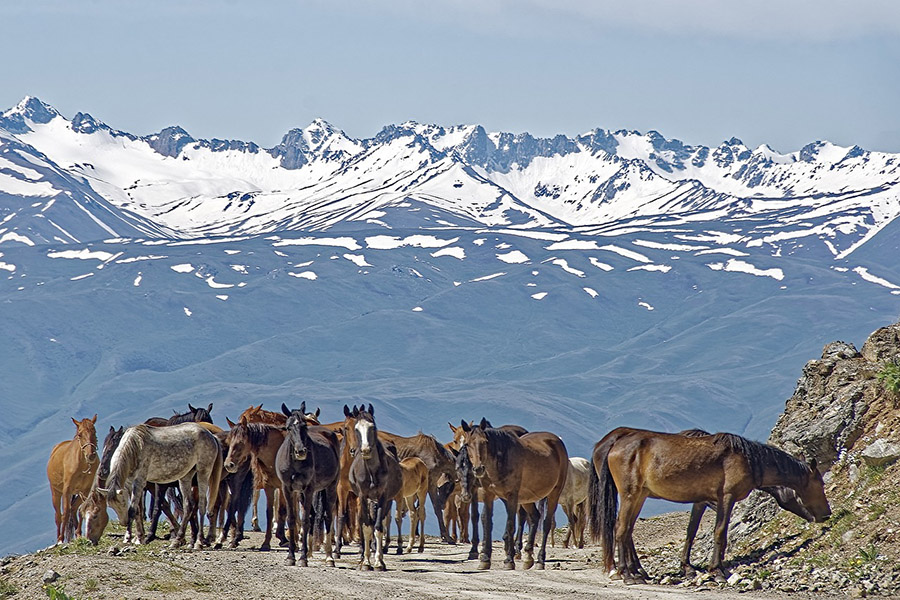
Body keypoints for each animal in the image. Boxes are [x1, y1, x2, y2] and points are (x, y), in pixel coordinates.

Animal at [47, 415, 99, 543]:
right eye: (80, 434)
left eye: (94, 431)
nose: (91, 455)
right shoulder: (67, 490)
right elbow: (65, 513)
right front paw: (61, 539)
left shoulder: (85, 490)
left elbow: (80, 510)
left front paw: (80, 534)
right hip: (56, 492)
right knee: (58, 515)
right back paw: (59, 538)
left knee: (73, 509)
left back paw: (77, 533)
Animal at [275, 402, 340, 567]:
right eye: (288, 427)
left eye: (304, 426)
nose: (301, 451)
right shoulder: (287, 489)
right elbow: (292, 519)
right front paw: (291, 556)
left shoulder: (309, 489)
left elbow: (305, 521)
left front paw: (303, 558)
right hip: (301, 494)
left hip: (330, 487)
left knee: (328, 517)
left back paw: (329, 557)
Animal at [345, 404, 402, 571]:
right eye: (357, 428)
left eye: (372, 427)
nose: (365, 450)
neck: (371, 471)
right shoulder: (362, 496)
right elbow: (366, 527)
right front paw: (365, 562)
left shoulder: (383, 497)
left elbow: (378, 528)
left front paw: (378, 562)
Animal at [460, 418, 568, 571]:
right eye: (467, 444)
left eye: (485, 442)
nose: (478, 469)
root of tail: (557, 441)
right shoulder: (488, 494)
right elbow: (487, 521)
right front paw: (485, 559)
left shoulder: (512, 496)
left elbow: (510, 525)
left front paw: (509, 560)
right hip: (527, 497)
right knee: (535, 517)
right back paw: (528, 557)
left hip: (554, 493)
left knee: (546, 523)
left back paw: (540, 560)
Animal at [589, 427, 831, 584]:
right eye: (820, 483)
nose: (827, 514)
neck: (749, 459)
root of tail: (613, 443)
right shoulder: (726, 498)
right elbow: (720, 532)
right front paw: (718, 571)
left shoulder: (700, 501)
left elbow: (691, 531)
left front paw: (690, 568)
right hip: (630, 495)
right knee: (621, 529)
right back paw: (628, 575)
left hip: (639, 496)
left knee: (627, 529)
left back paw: (635, 572)